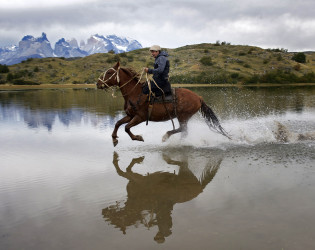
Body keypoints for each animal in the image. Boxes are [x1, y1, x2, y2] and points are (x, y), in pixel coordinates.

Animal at [96, 61, 230, 146]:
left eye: (109, 73)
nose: (98, 83)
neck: (134, 92)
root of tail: (199, 97)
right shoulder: (130, 115)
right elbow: (118, 123)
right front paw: (114, 139)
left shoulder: (140, 117)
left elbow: (126, 127)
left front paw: (138, 138)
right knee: (183, 131)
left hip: (183, 116)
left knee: (183, 130)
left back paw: (167, 137)